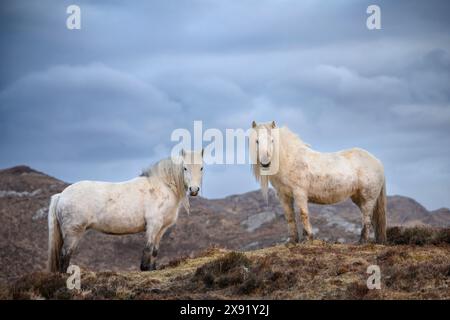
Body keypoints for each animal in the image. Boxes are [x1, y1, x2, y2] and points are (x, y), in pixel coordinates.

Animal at [46, 150, 203, 272]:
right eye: (185, 168)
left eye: (202, 168)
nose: (194, 190)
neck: (163, 186)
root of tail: (61, 195)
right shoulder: (153, 226)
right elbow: (148, 249)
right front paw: (144, 269)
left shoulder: (161, 229)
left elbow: (155, 251)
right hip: (73, 233)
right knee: (65, 255)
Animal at [250, 121, 386, 244]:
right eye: (257, 141)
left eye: (272, 140)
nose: (265, 163)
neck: (289, 159)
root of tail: (378, 162)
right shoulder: (284, 196)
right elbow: (289, 217)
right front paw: (292, 240)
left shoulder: (300, 193)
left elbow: (303, 214)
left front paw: (307, 238)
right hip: (358, 198)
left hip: (368, 198)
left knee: (366, 217)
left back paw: (362, 241)